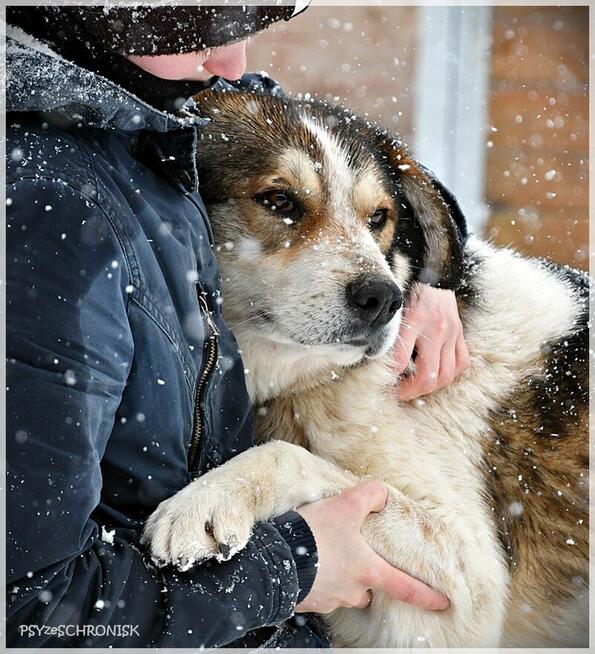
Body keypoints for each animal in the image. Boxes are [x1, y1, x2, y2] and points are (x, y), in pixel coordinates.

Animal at [141, 89, 592, 648]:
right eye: (279, 201)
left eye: (378, 217)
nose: (383, 298)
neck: (326, 381)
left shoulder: (465, 581)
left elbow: (290, 456)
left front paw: (206, 502)